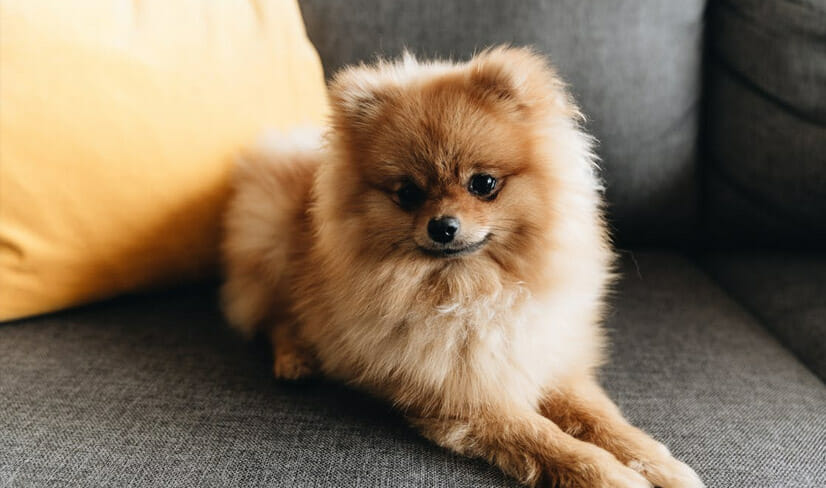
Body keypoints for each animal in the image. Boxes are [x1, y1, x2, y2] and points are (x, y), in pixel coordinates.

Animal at [220, 46, 700, 488]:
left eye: (483, 184)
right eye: (408, 194)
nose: (443, 226)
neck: (475, 290)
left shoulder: (545, 358)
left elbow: (601, 418)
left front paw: (657, 463)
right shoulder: (465, 397)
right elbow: (542, 436)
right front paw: (608, 474)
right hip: (271, 245)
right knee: (274, 316)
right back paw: (296, 359)